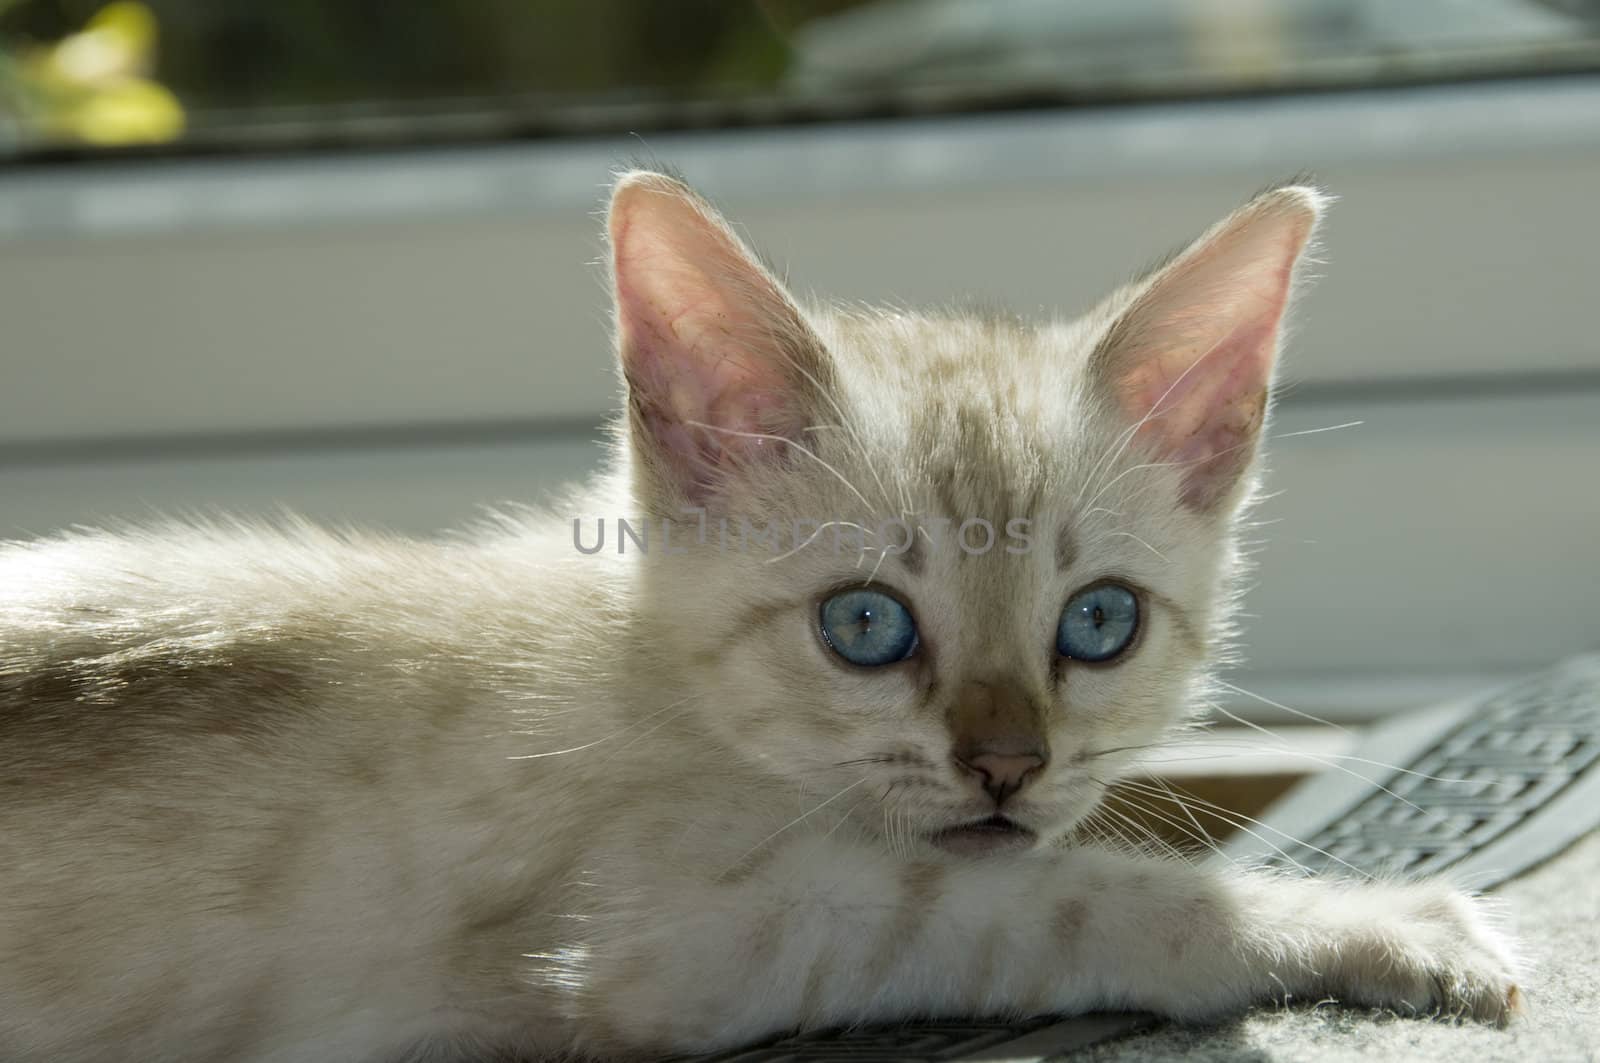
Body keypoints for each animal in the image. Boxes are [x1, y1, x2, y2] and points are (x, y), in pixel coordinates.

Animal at [3, 170, 1523, 1056]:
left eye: (1099, 624)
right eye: (864, 628)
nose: (1007, 764)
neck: (652, 671)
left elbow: (1031, 871)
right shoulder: (671, 941)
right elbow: (1056, 897)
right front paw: (1383, 928)